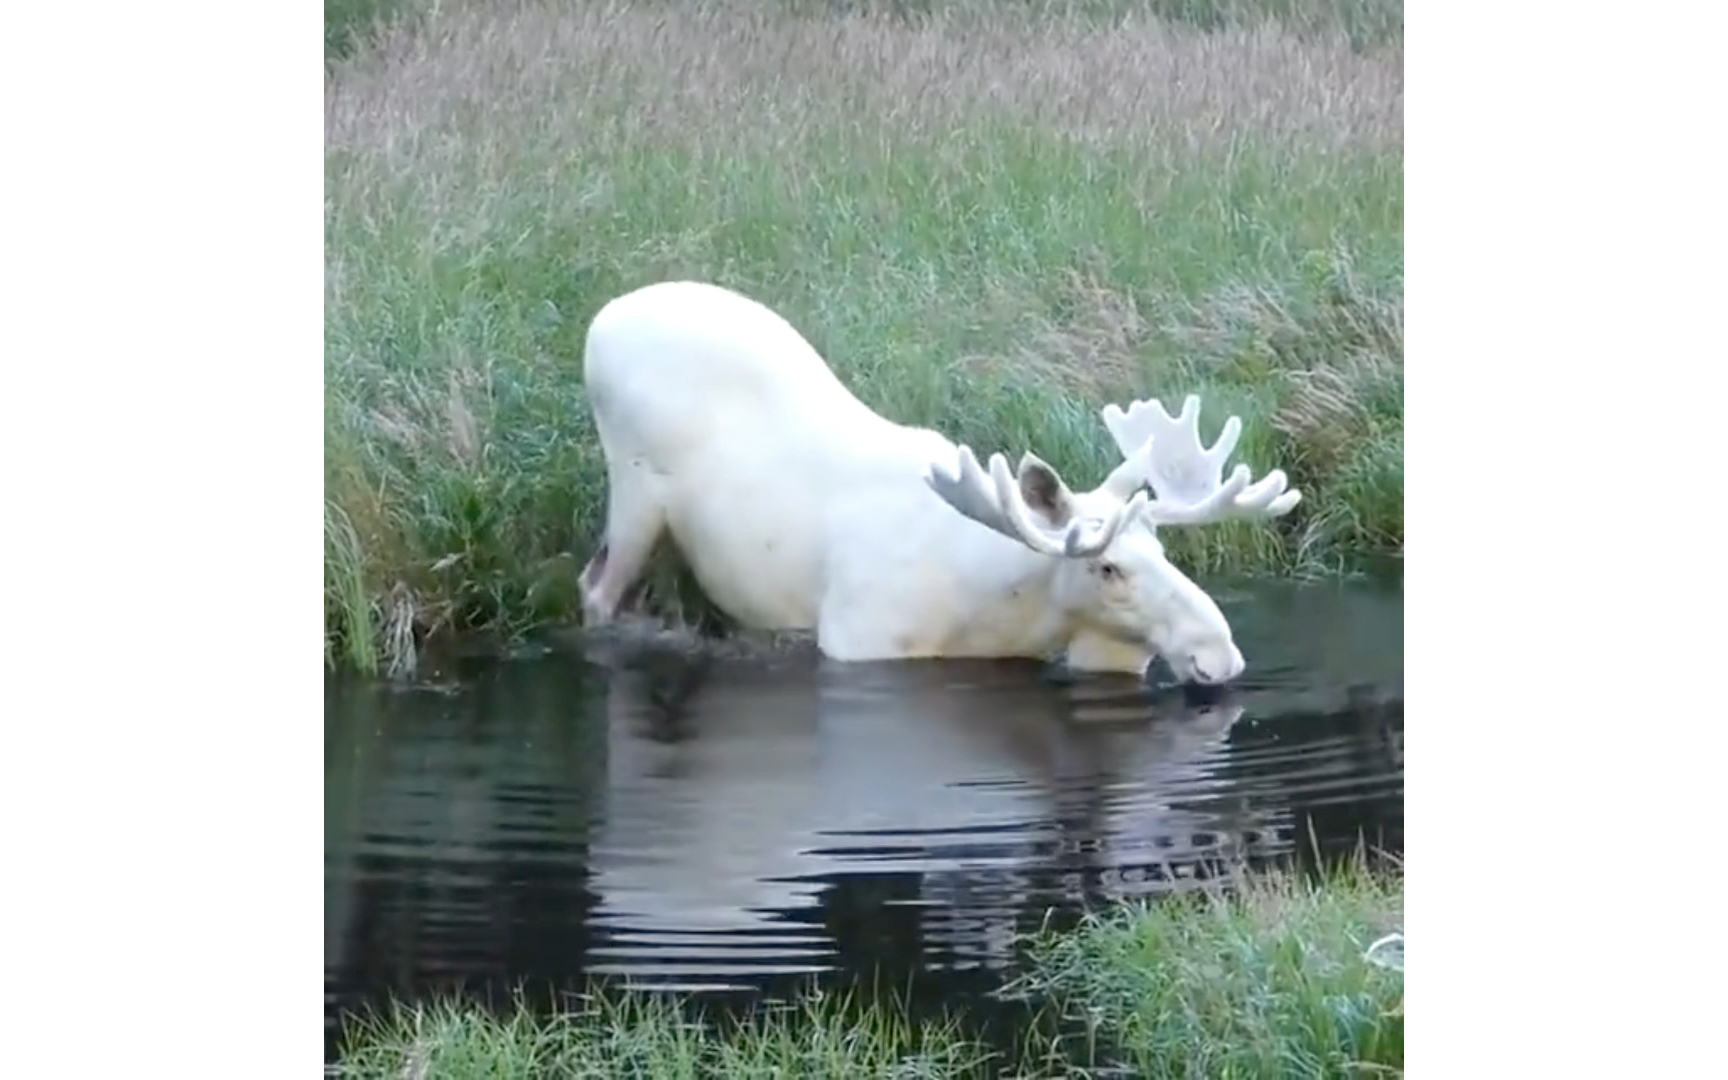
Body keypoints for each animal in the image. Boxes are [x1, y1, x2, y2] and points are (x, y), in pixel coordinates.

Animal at [573, 278, 1299, 680]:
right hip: (634, 490)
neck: (1000, 611)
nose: (1218, 654)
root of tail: (601, 318)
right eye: (1108, 567)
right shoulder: (856, 642)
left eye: (1162, 549)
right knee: (595, 587)